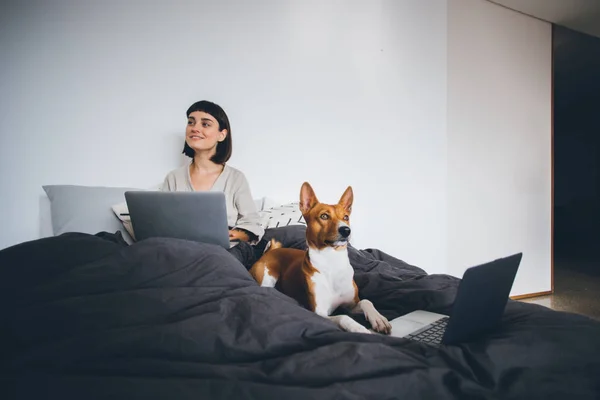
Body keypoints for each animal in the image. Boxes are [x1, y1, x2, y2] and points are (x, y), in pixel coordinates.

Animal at [247, 181, 392, 334]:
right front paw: (359, 328)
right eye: (324, 216)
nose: (346, 230)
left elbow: (366, 301)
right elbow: (343, 316)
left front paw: (378, 319)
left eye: (346, 217)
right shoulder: (320, 313)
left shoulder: (351, 304)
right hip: (267, 279)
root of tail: (270, 251)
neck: (332, 261)